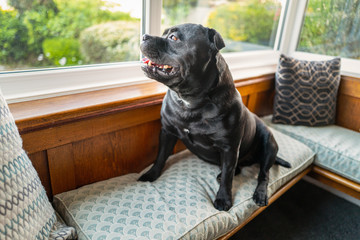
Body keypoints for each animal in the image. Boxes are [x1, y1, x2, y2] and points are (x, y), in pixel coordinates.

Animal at [138, 23, 290, 211]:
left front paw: (224, 199)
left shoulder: (229, 148)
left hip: (269, 144)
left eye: (173, 38)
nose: (144, 36)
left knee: (263, 174)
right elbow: (160, 157)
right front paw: (152, 174)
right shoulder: (167, 132)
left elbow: (227, 177)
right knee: (237, 169)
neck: (190, 101)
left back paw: (260, 194)